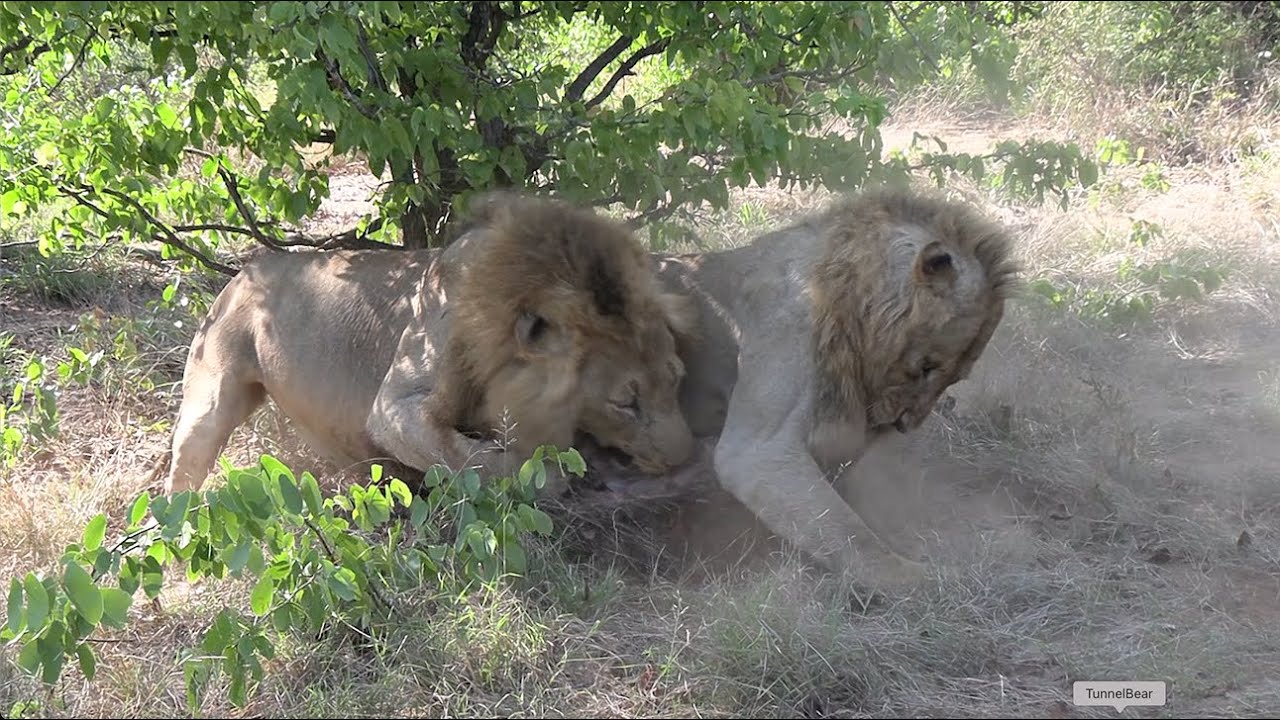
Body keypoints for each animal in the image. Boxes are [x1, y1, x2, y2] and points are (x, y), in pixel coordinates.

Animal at [161, 192, 698, 496]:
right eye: (624, 402)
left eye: (677, 379)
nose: (685, 458)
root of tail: (243, 270)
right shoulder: (393, 406)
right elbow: (469, 456)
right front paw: (551, 474)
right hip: (209, 399)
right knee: (180, 478)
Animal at [576, 185, 1018, 590]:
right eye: (926, 367)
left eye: (954, 378)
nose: (904, 426)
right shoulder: (759, 443)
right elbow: (850, 535)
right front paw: (921, 580)